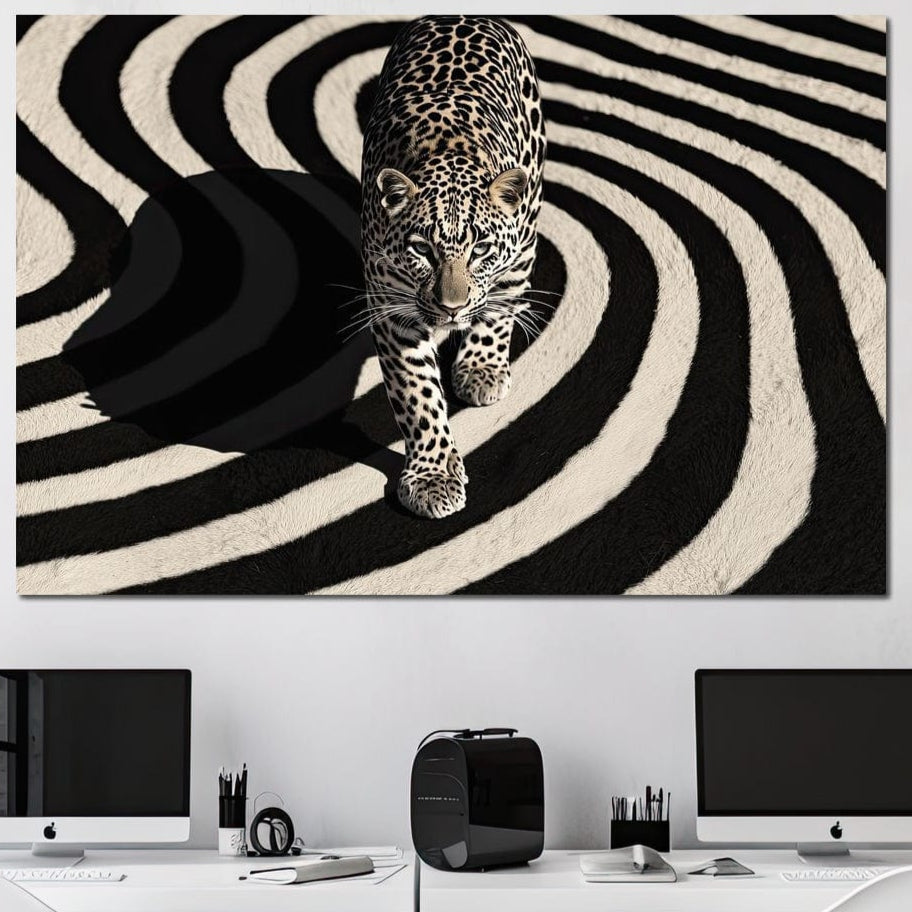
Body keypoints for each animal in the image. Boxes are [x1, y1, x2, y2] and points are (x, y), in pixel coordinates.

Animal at [360, 15, 546, 519]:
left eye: (480, 249)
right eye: (422, 249)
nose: (451, 308)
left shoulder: (515, 257)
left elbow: (498, 309)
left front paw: (480, 369)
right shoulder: (393, 310)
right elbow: (417, 395)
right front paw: (433, 477)